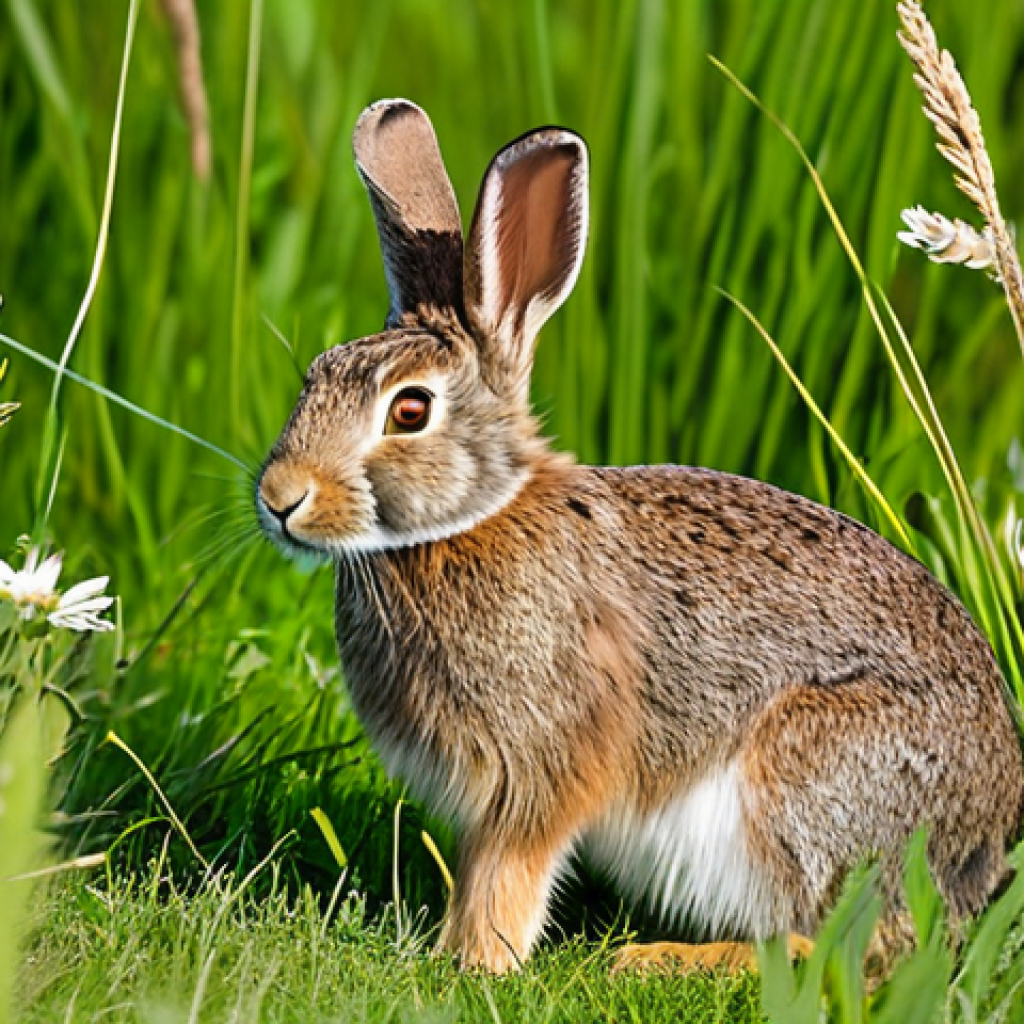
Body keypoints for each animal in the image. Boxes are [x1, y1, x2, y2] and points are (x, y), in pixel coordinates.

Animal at [257, 98, 1024, 974]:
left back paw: (666, 958)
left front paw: (475, 964)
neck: (474, 517)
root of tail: (982, 848)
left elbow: (507, 873)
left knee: (859, 946)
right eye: (316, 374)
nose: (279, 499)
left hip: (811, 781)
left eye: (409, 411)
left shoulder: (542, 765)